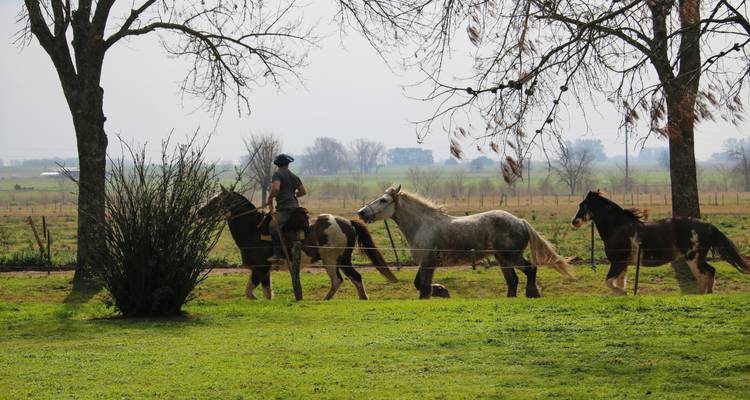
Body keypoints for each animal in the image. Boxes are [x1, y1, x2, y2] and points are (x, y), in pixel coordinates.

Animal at [199, 187, 398, 300]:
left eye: (216, 200)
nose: (199, 212)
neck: (253, 230)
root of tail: (347, 222)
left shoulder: (259, 269)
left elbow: (249, 293)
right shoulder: (264, 272)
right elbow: (266, 294)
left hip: (331, 259)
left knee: (337, 280)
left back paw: (326, 299)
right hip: (343, 260)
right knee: (355, 277)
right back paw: (361, 298)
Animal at [357, 185, 574, 299]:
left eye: (384, 200)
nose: (361, 213)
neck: (422, 224)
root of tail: (520, 221)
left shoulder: (428, 262)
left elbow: (423, 287)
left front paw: (438, 292)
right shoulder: (426, 262)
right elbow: (419, 284)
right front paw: (442, 291)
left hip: (511, 256)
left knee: (530, 270)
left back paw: (532, 293)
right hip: (502, 259)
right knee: (512, 280)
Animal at [571, 190, 749, 295]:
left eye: (583, 205)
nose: (575, 222)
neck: (618, 228)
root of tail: (709, 226)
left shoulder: (617, 262)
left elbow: (610, 282)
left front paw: (624, 294)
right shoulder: (623, 264)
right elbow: (620, 284)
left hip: (694, 258)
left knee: (707, 273)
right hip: (696, 259)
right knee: (707, 275)